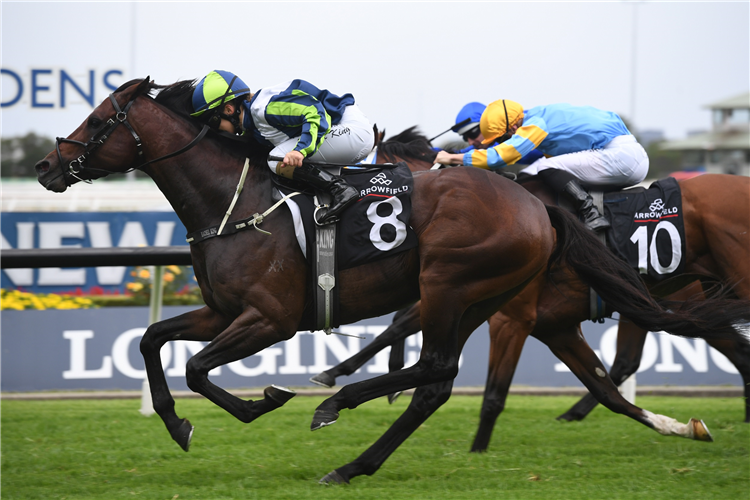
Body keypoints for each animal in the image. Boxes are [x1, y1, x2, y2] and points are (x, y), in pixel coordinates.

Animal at [36, 82, 750, 484]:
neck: (236, 205)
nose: (46, 166)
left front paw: (266, 399)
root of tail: (534, 205)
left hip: (452, 283)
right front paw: (179, 424)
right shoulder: (222, 312)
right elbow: (153, 342)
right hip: (482, 297)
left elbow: (197, 368)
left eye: (98, 119)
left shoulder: (268, 318)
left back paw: (339, 409)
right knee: (447, 381)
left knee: (435, 369)